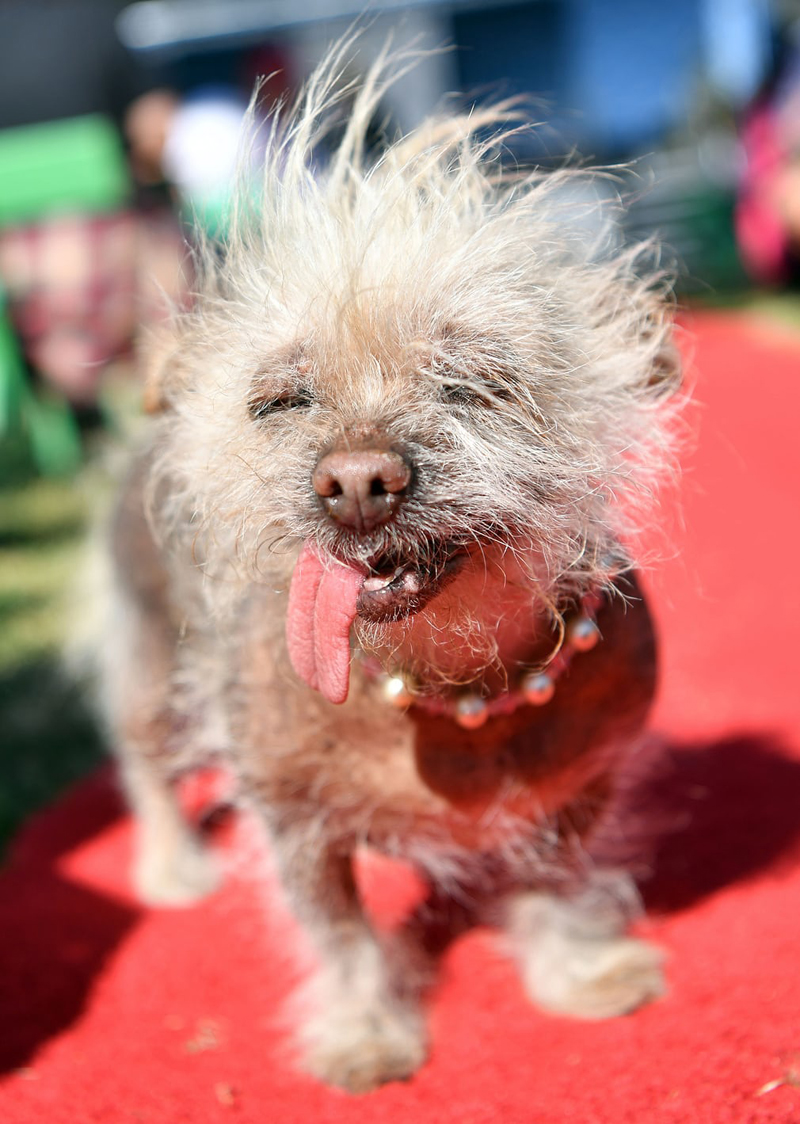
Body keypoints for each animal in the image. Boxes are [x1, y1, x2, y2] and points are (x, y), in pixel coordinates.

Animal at [101, 46, 683, 1097]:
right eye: (281, 400)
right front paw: (365, 1032)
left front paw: (578, 970)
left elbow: (559, 876)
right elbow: (340, 937)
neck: (446, 688)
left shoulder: (581, 786)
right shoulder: (294, 824)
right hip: (152, 670)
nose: (357, 481)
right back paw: (171, 866)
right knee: (145, 765)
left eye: (475, 384)